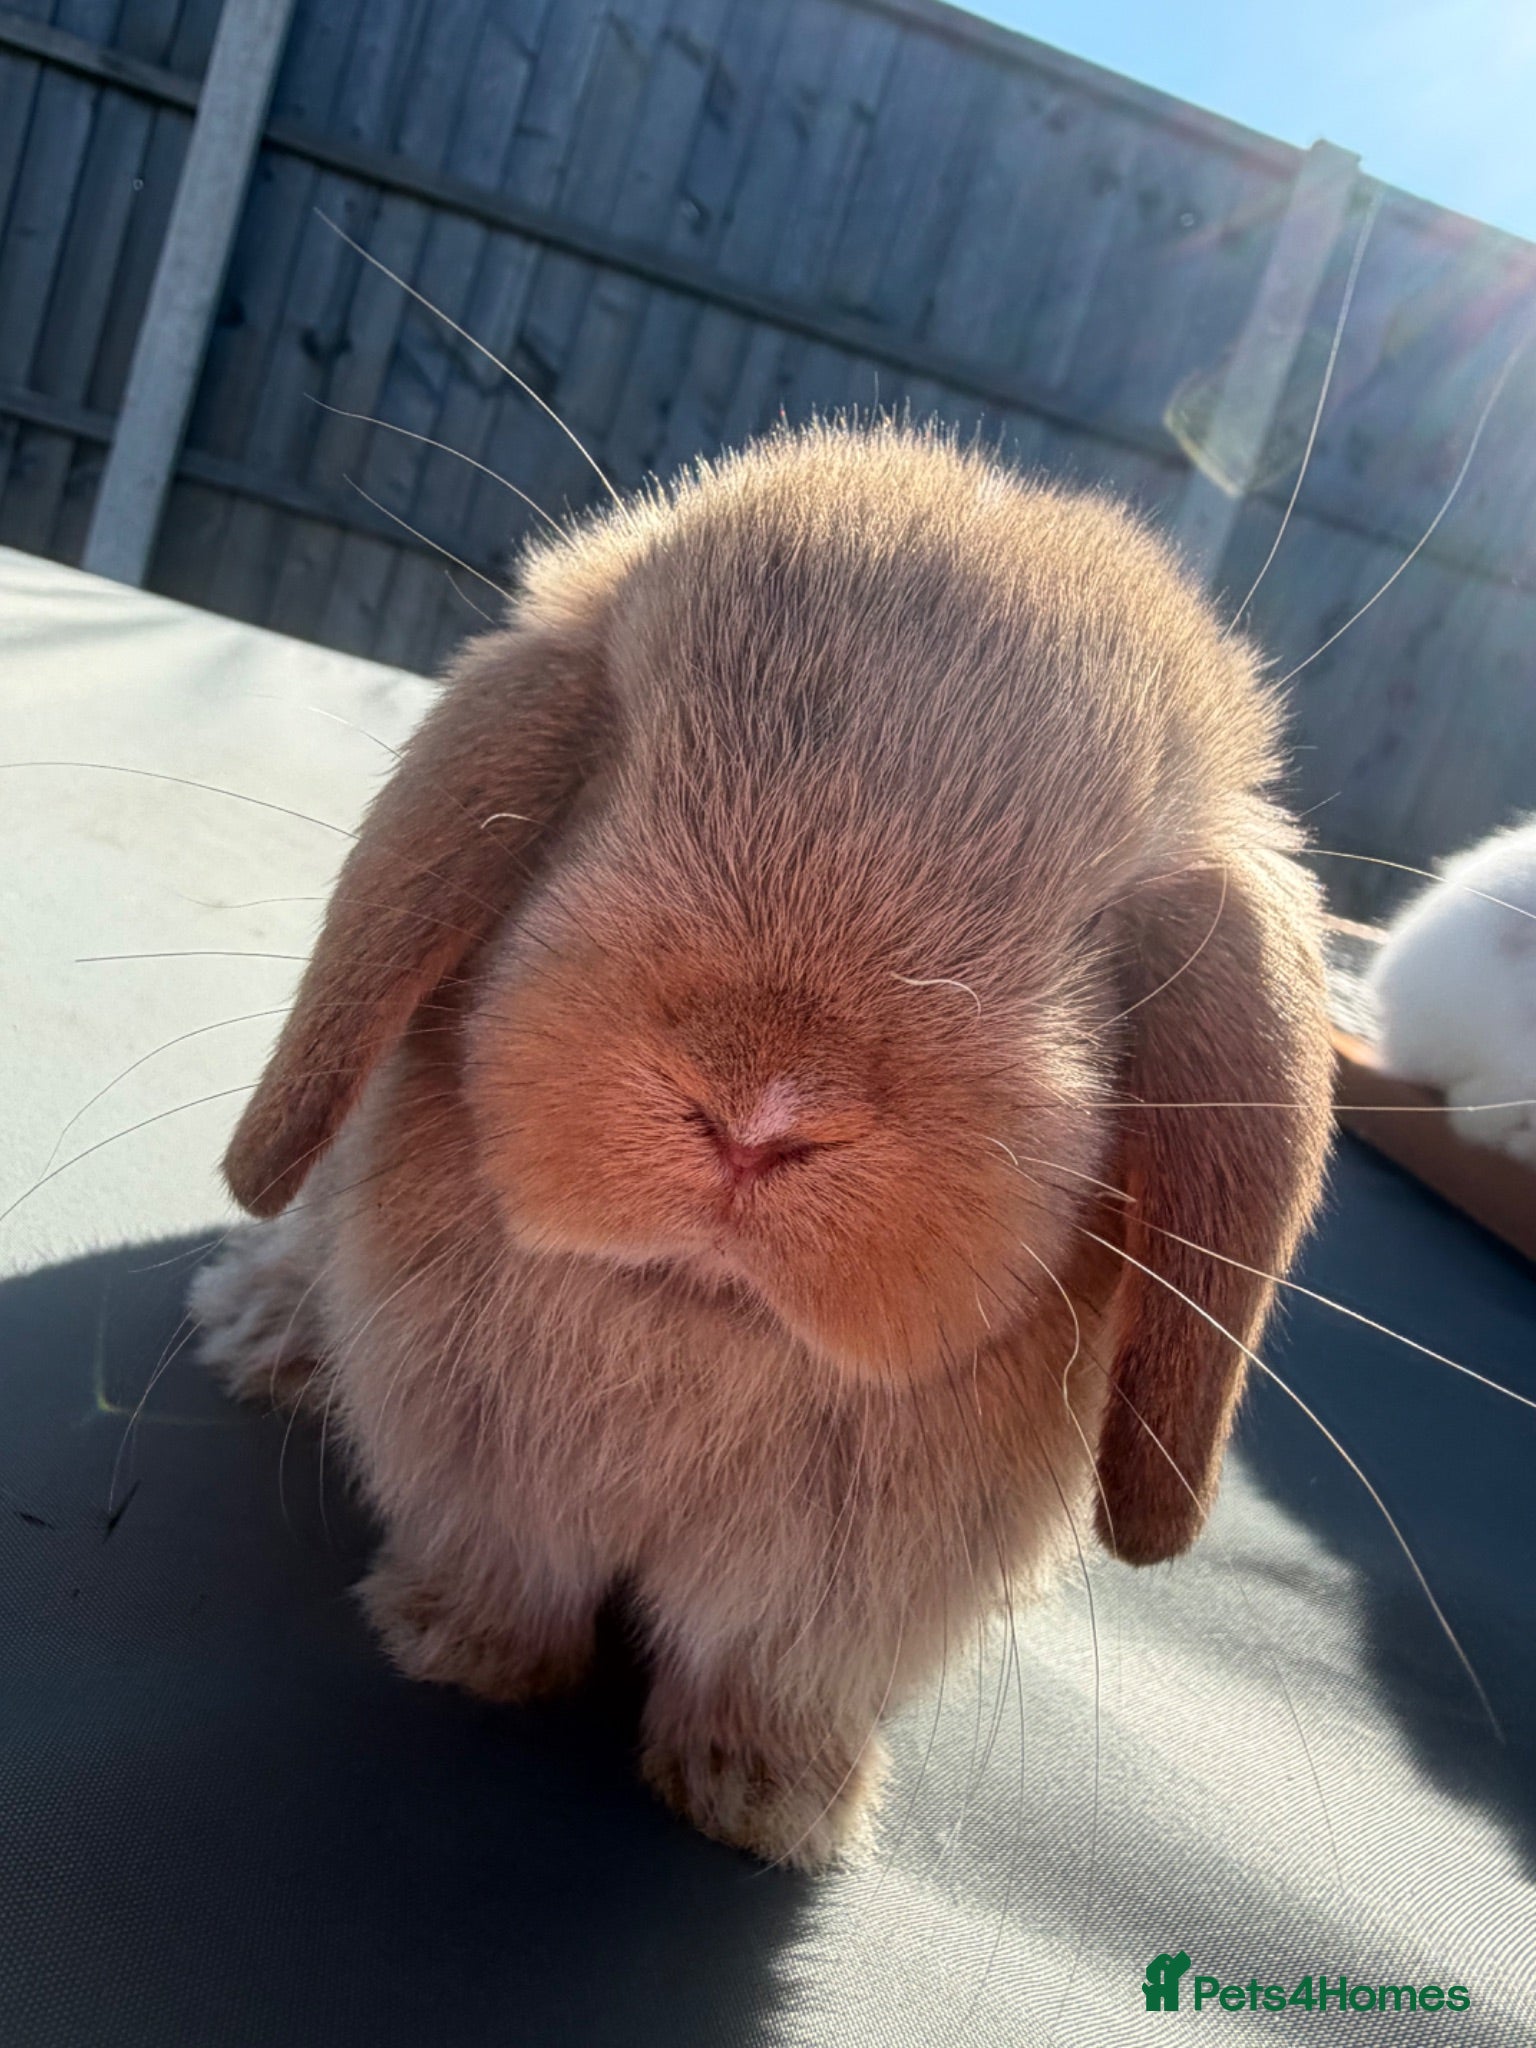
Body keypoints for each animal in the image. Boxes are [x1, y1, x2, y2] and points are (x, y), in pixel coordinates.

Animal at [188, 420, 1333, 1870]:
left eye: (1104, 935)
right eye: (614, 771)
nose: (760, 1107)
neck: (704, 1315)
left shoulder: (829, 1609)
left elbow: (765, 1679)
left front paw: (773, 1806)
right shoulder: (482, 1483)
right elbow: (504, 1576)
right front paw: (452, 1651)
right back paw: (261, 1329)